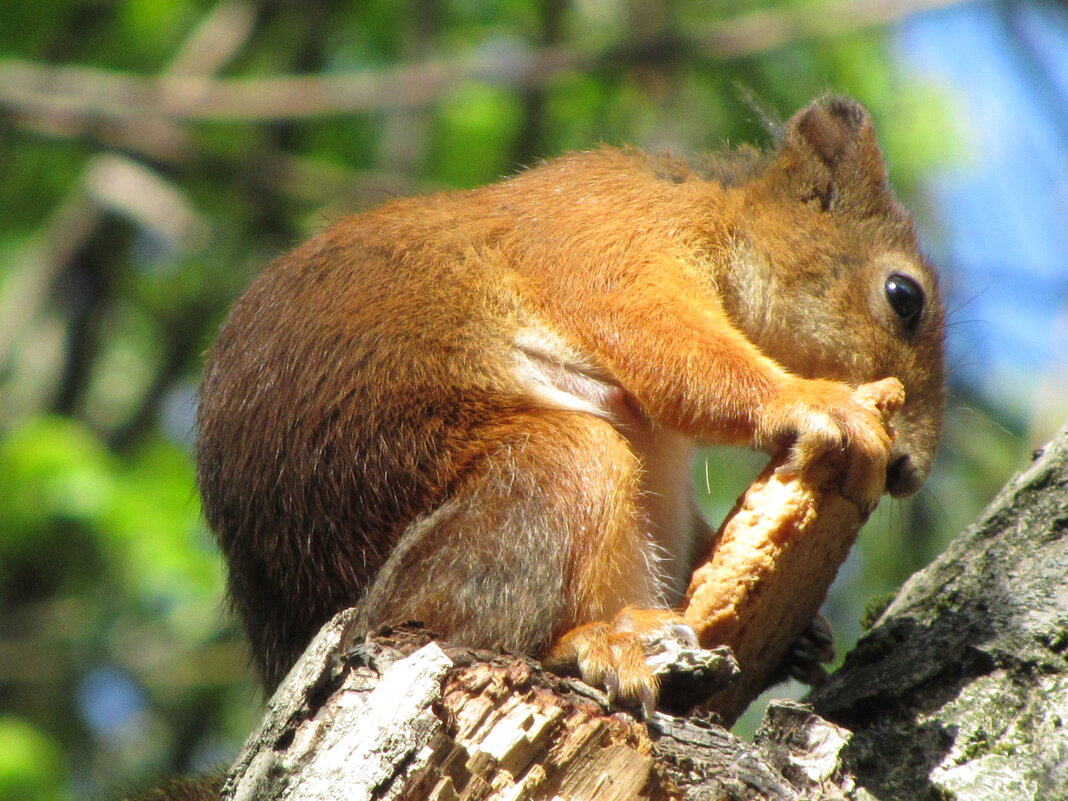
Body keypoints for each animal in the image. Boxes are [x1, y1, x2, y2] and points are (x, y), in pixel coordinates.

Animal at [198, 95, 944, 713]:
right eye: (904, 295)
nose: (911, 471)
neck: (719, 213)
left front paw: (804, 636)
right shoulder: (609, 237)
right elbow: (658, 340)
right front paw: (816, 402)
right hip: (545, 476)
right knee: (445, 621)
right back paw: (595, 643)